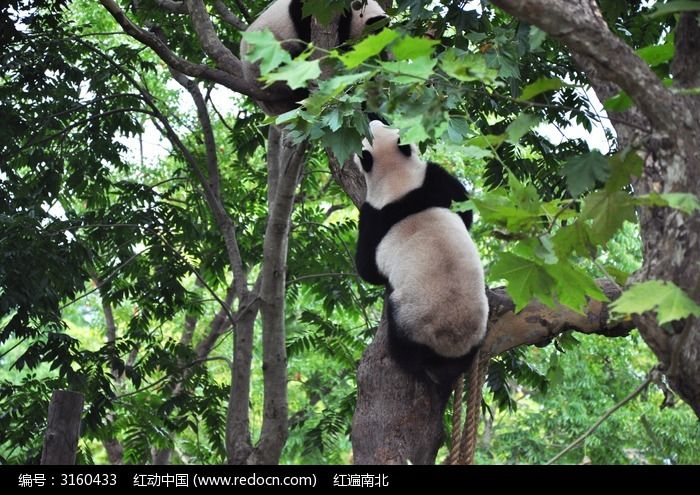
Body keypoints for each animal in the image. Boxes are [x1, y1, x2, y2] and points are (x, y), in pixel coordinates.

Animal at [352, 121, 490, 392]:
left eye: (380, 127)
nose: (373, 121)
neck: (397, 177)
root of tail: (451, 344)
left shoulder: (373, 216)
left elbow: (367, 267)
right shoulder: (434, 180)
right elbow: (465, 208)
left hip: (411, 319)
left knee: (403, 341)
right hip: (480, 327)